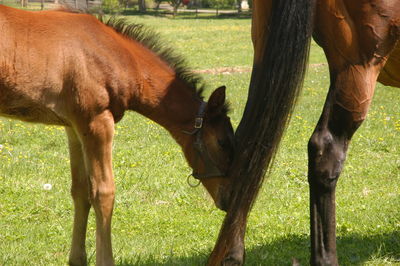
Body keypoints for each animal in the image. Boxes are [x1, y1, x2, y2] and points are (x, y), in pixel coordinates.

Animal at [0, 5, 236, 264]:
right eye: (223, 142)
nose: (229, 198)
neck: (116, 56)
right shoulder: (97, 121)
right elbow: (103, 192)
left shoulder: (74, 127)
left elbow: (80, 190)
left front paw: (78, 259)